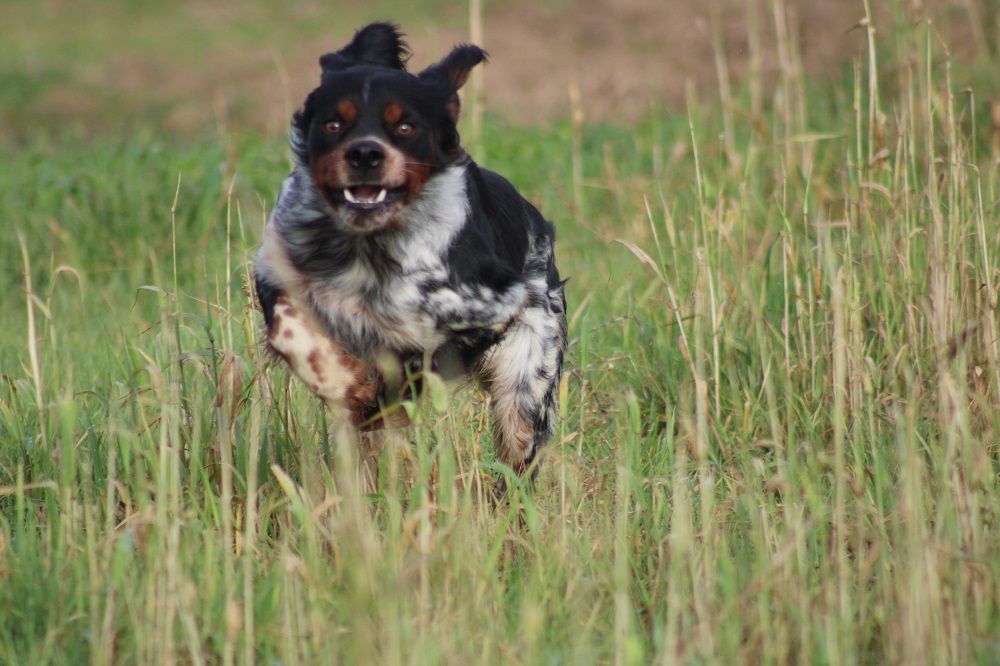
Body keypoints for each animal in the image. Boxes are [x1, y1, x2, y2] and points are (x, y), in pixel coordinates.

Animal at [254, 23, 568, 490]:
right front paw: (346, 381)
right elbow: (293, 333)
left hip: (526, 386)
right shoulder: (277, 271)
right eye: (333, 123)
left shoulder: (487, 307)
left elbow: (417, 345)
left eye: (404, 126)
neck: (367, 245)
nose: (365, 154)